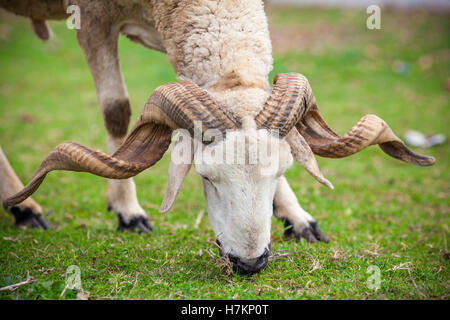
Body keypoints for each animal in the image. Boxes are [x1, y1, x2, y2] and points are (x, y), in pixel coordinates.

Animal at [1, 0, 434, 276]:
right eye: (205, 177)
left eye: (282, 172)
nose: (250, 264)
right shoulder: (93, 18)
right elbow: (116, 109)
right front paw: (128, 211)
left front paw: (297, 218)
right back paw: (25, 208)